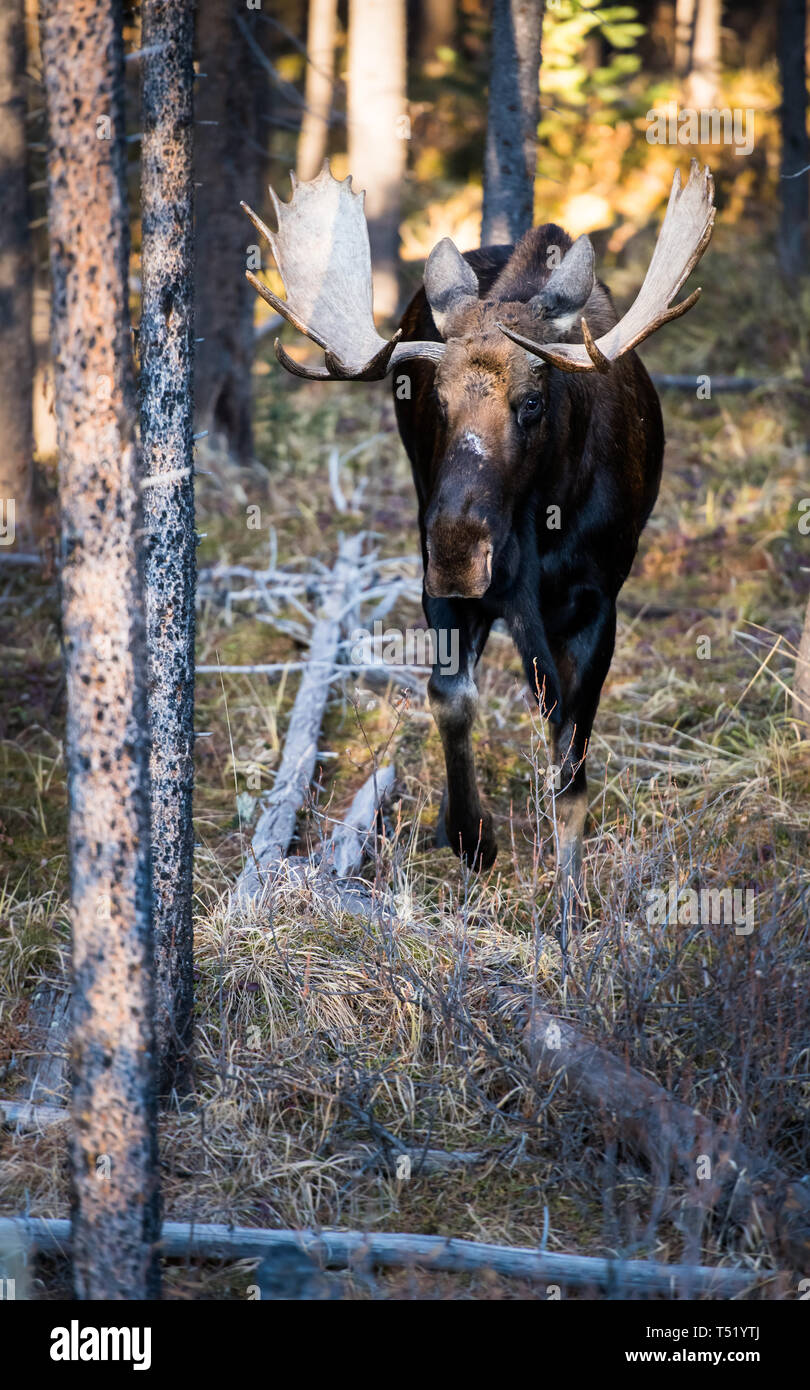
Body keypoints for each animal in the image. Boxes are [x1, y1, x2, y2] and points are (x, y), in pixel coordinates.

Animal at [241, 159, 715, 934]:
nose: (459, 549)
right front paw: (471, 836)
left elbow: (570, 756)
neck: (540, 528)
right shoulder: (439, 588)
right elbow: (451, 697)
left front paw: (569, 907)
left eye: (533, 402)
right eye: (433, 400)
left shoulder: (597, 603)